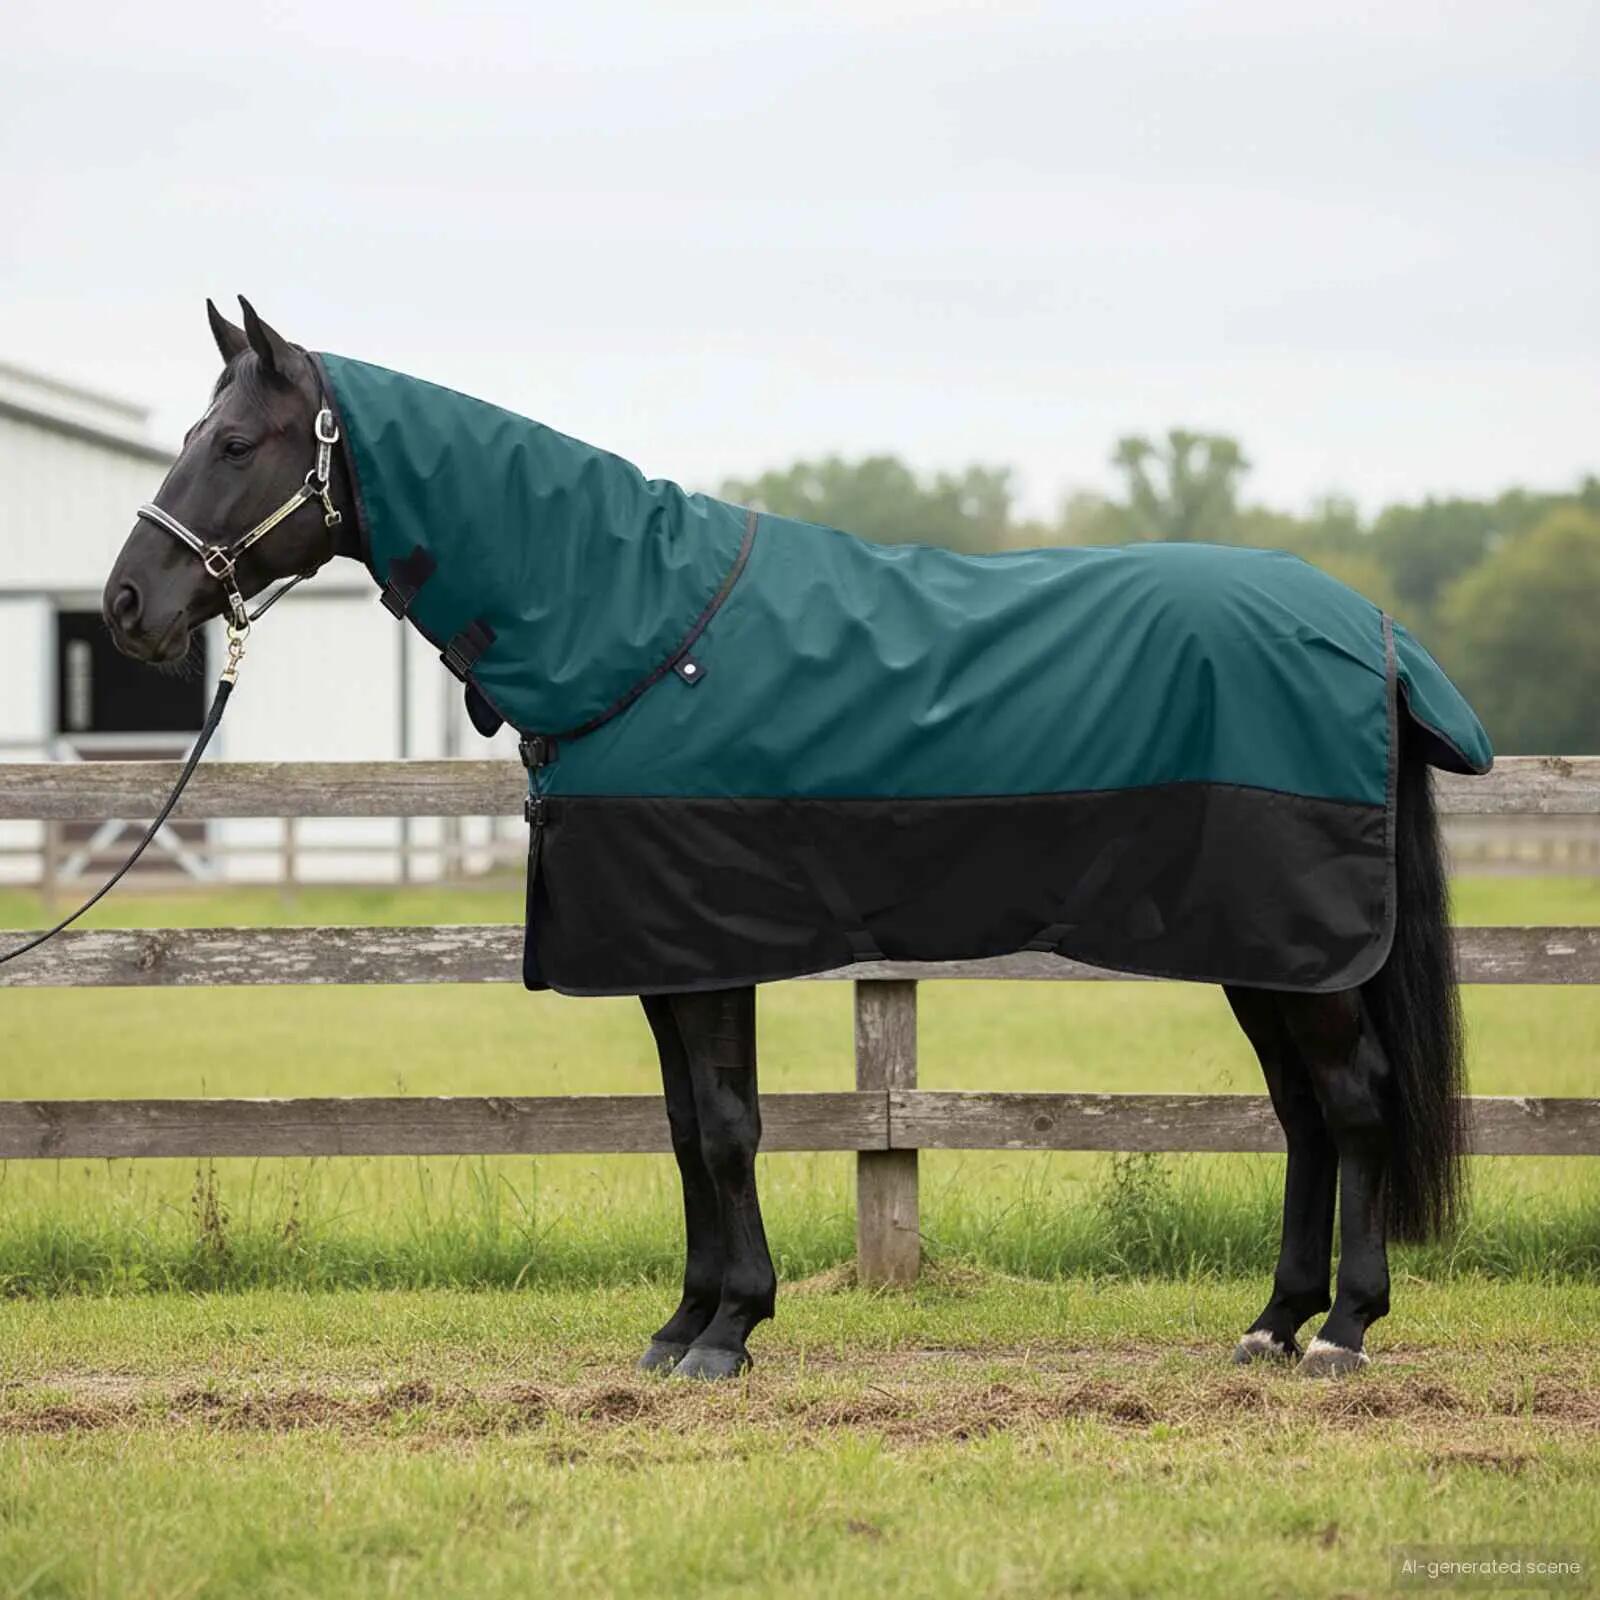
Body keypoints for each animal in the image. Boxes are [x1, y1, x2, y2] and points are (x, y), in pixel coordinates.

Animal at [102, 297, 1487, 1381]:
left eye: (233, 441)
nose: (127, 605)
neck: (638, 630)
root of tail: (1371, 632)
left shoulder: (707, 947)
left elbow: (724, 1127)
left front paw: (728, 1332)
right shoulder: (663, 957)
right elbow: (682, 1130)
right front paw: (683, 1324)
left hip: (1298, 948)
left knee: (1352, 1104)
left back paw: (1342, 1331)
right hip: (1265, 952)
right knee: (1304, 1116)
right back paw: (1271, 1322)